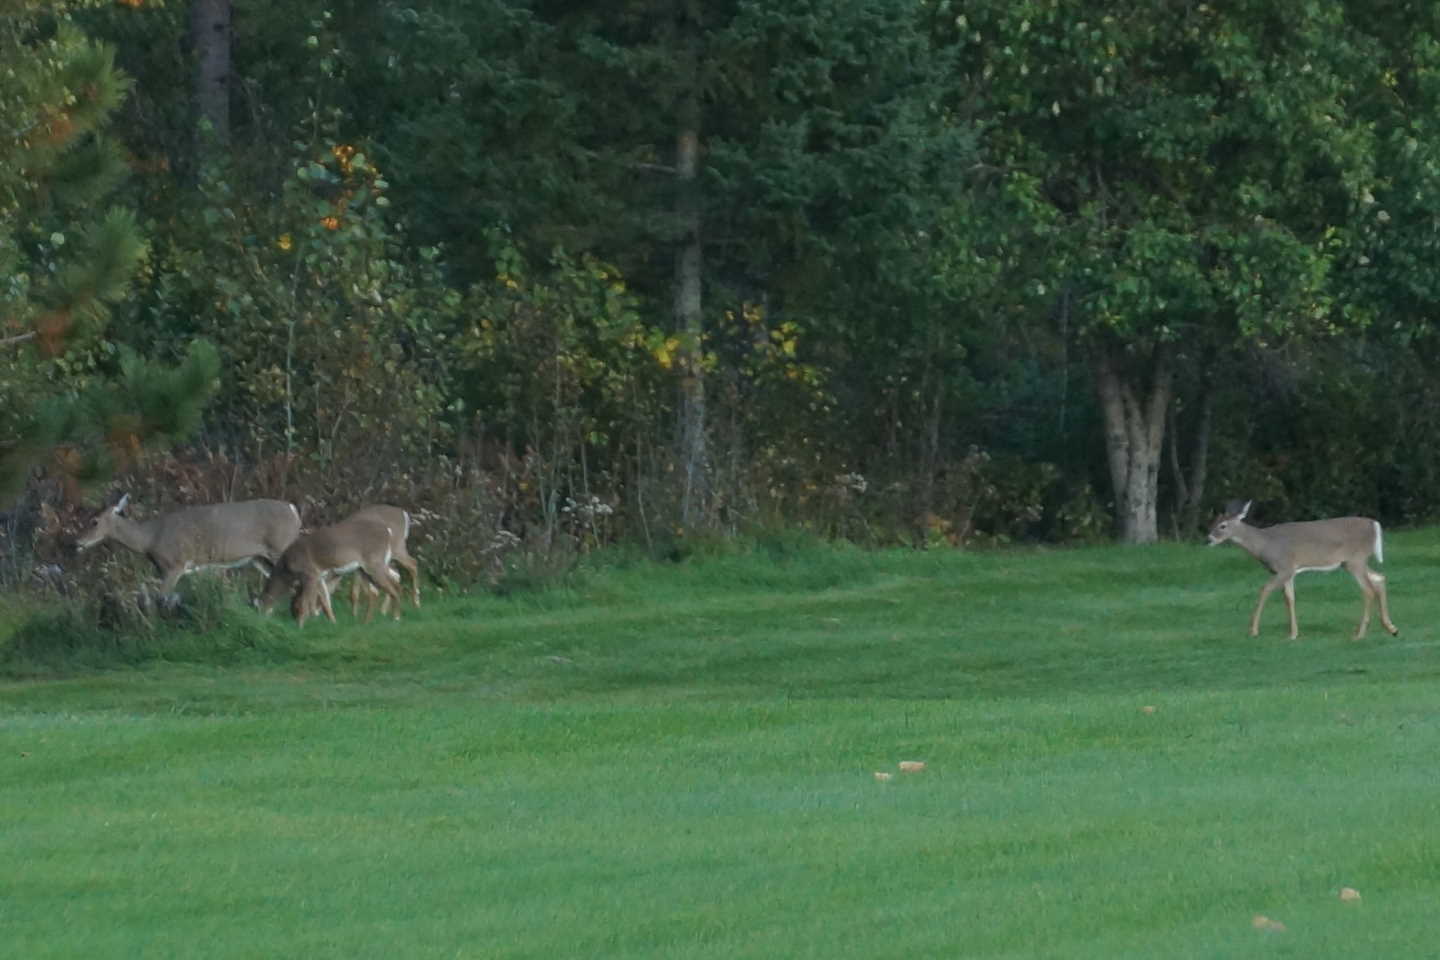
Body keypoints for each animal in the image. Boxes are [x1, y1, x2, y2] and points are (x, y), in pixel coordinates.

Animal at [75, 494, 302, 600]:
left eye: (94, 521)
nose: (77, 542)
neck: (150, 539)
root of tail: (293, 510)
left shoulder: (174, 564)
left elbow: (161, 598)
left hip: (280, 546)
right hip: (260, 558)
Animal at [257, 514, 403, 627]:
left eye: (294, 607)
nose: (261, 617)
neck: (286, 569)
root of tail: (388, 532)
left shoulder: (310, 573)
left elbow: (306, 601)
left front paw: (301, 626)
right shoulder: (319, 577)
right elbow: (326, 602)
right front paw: (333, 623)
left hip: (375, 563)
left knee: (394, 587)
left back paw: (395, 618)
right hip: (363, 569)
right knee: (375, 593)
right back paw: (365, 623)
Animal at [1207, 499, 1399, 640]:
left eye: (1223, 525)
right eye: (1213, 521)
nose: (1208, 539)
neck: (1265, 544)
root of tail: (1374, 524)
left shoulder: (1284, 567)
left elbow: (1264, 590)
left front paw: (1253, 631)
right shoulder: (1289, 571)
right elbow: (1289, 598)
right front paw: (1293, 634)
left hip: (1355, 559)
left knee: (1368, 590)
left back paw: (1359, 634)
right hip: (1350, 562)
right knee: (1379, 578)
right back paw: (1391, 628)